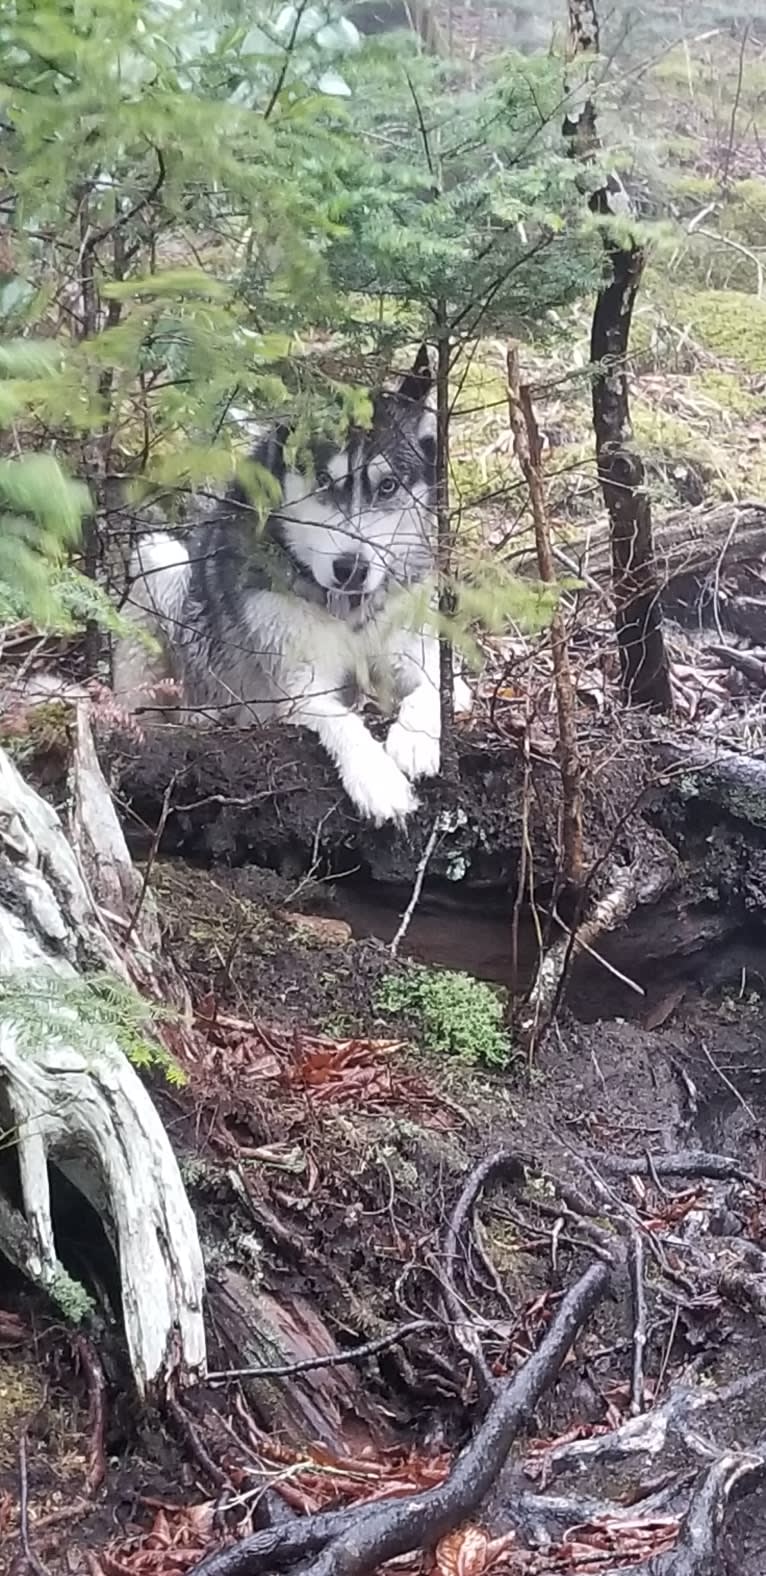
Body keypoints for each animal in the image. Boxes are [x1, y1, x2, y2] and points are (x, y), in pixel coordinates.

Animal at [113, 345, 460, 825]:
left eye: (388, 485)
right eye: (323, 481)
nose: (350, 569)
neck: (347, 609)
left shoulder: (416, 652)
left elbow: (434, 689)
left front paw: (413, 739)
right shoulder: (297, 688)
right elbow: (343, 721)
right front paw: (377, 779)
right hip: (160, 561)